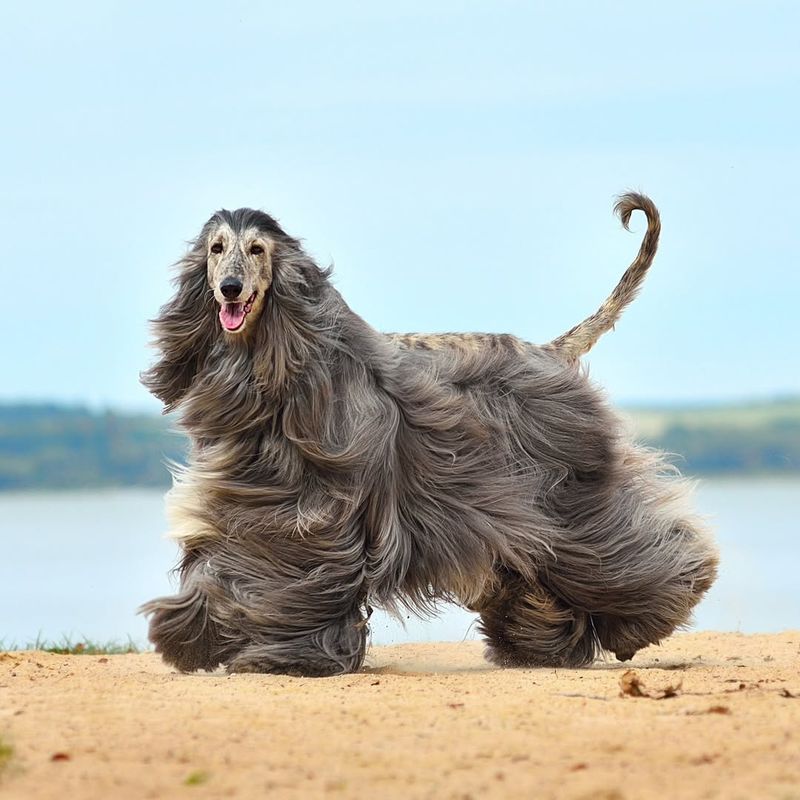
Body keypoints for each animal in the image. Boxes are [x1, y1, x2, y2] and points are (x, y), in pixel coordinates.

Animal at [139, 195, 720, 676]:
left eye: (256, 249)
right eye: (216, 249)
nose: (230, 289)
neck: (280, 364)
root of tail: (549, 352)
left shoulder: (308, 513)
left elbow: (270, 568)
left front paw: (249, 650)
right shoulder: (256, 497)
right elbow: (220, 555)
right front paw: (195, 635)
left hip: (564, 488)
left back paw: (647, 616)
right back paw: (541, 641)